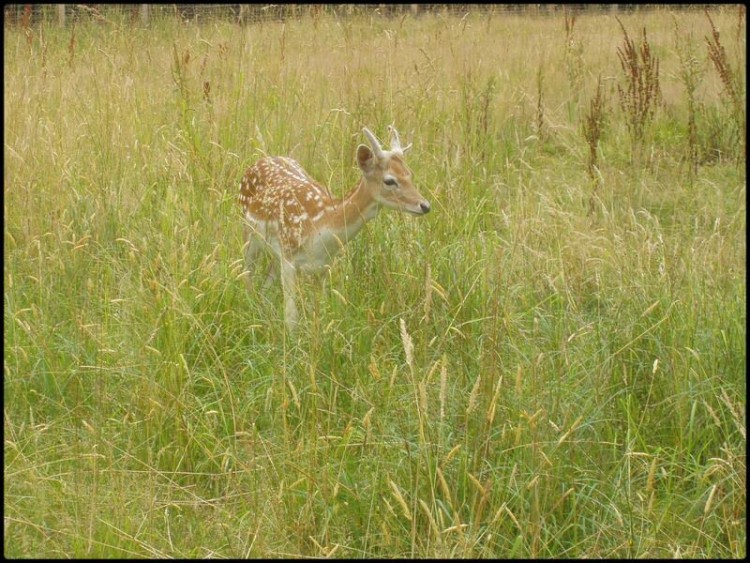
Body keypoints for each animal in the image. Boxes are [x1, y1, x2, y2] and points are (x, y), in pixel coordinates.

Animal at [238, 126, 432, 330]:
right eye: (389, 180)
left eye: (409, 174)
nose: (425, 205)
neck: (322, 225)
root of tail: (258, 161)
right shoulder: (289, 258)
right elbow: (291, 317)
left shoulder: (323, 266)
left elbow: (320, 312)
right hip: (248, 233)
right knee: (247, 274)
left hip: (275, 253)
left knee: (265, 283)